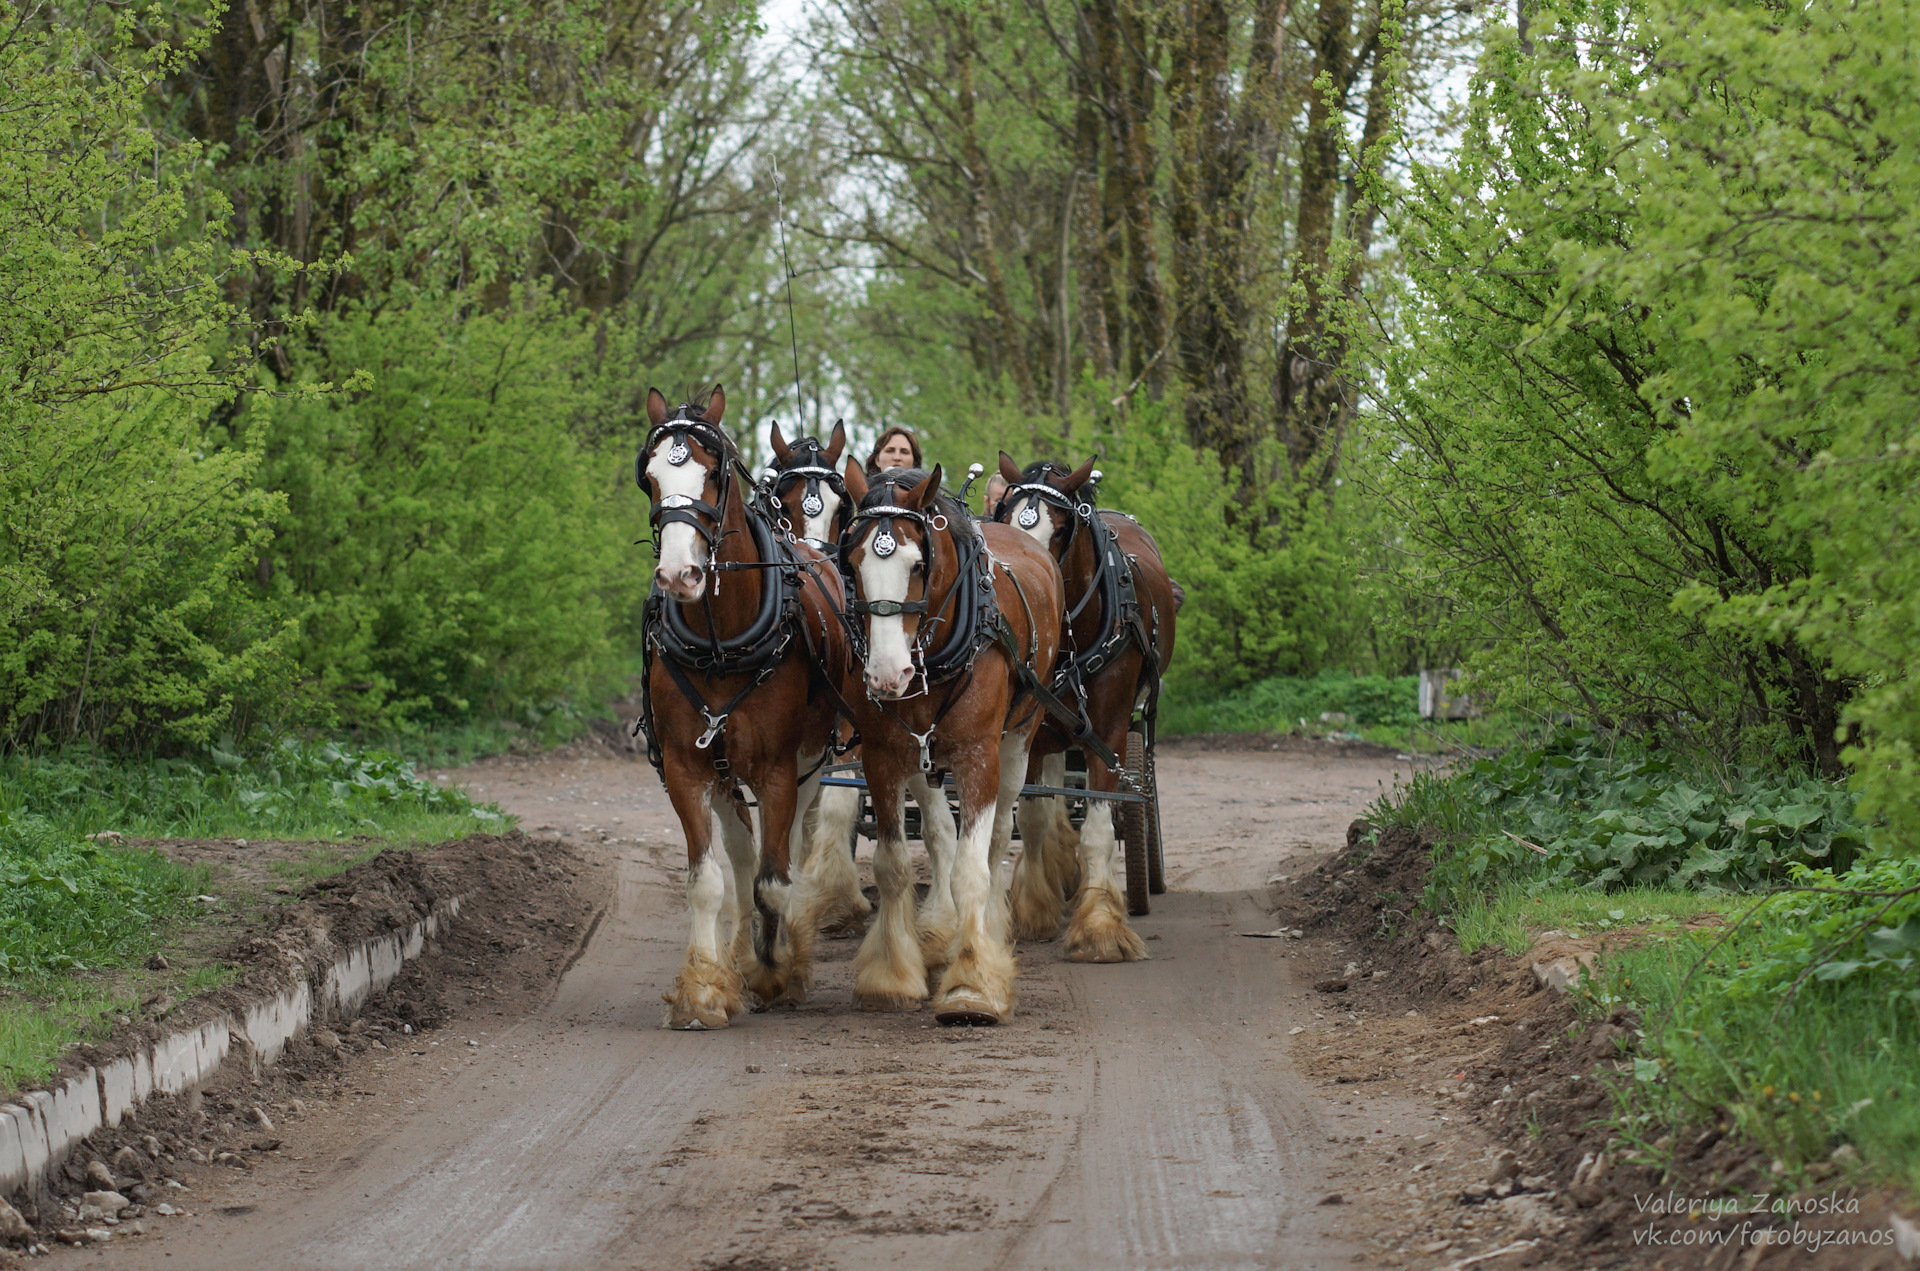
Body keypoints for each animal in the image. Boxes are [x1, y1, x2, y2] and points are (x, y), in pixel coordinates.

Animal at [633, 391, 852, 1036]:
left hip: (809, 761)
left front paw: (774, 970)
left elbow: (774, 882)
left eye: (712, 474)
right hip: (726, 770)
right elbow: (710, 879)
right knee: (741, 853)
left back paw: (783, 956)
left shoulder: (780, 769)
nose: (679, 574)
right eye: (651, 478)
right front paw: (706, 990)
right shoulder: (686, 767)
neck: (719, 643)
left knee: (788, 852)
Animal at [833, 460, 1067, 1029]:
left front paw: (972, 986)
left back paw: (989, 929)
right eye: (853, 562)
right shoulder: (883, 756)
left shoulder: (978, 755)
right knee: (939, 831)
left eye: (918, 564)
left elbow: (972, 869)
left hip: (1018, 740)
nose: (887, 675)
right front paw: (892, 975)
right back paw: (939, 931)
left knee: (999, 835)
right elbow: (895, 865)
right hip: (923, 755)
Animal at [998, 458, 1175, 967]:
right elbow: (1033, 817)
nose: (1032, 586)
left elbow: (1099, 824)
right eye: (1005, 520)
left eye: (1060, 531)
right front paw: (1034, 908)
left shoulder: (1111, 732)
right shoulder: (1032, 731)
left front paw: (1099, 926)